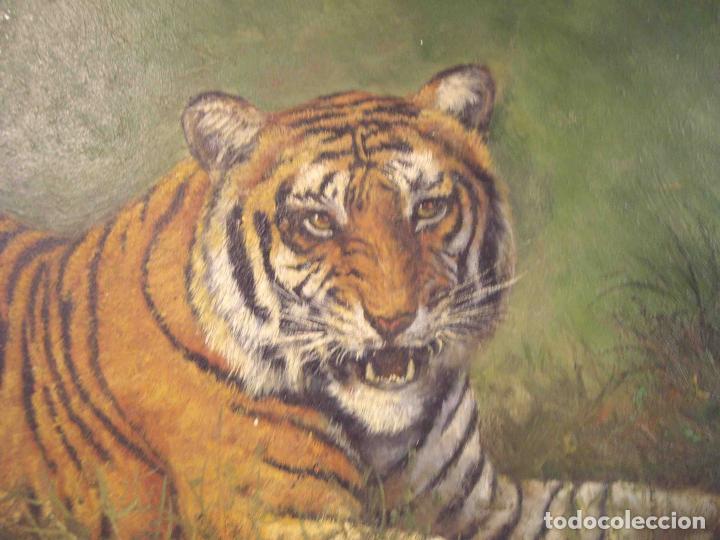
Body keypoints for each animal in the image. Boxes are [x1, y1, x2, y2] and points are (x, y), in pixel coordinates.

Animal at [0, 64, 718, 539]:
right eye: (319, 221)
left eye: (426, 208)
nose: (393, 320)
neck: (382, 434)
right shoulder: (285, 517)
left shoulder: (485, 506)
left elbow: (628, 500)